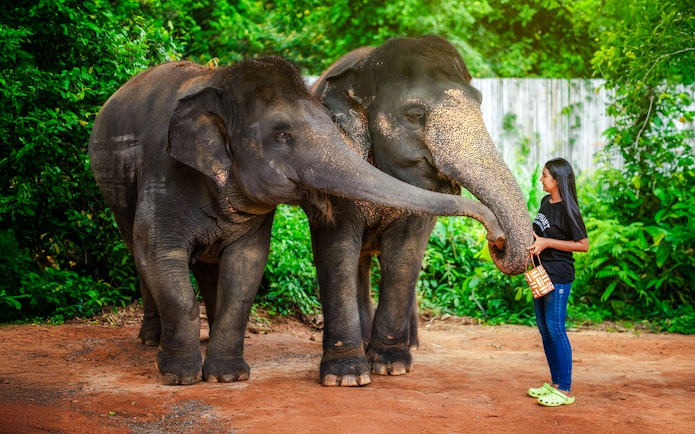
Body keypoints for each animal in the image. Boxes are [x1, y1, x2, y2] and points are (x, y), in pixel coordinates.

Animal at [88, 56, 506, 385]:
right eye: (282, 134)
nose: (498, 238)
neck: (219, 81)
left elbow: (247, 265)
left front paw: (226, 377)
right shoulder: (163, 171)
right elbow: (160, 256)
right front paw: (180, 376)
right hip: (113, 187)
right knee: (137, 251)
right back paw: (150, 341)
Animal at [303, 35, 533, 386]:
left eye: (480, 103)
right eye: (414, 114)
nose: (497, 239)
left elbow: (404, 254)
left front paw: (391, 366)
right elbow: (336, 250)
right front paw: (346, 377)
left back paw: (409, 344)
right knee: (359, 262)